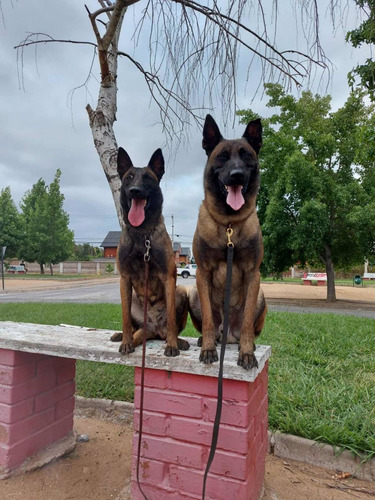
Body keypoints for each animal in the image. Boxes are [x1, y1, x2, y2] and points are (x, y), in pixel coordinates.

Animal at [110, 147, 189, 356]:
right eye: (129, 177)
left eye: (147, 178)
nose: (135, 190)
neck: (142, 234)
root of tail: (153, 328)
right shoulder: (124, 279)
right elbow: (125, 319)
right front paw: (126, 341)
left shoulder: (168, 278)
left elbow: (171, 319)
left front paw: (172, 345)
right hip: (132, 299)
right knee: (133, 326)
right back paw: (123, 336)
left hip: (181, 291)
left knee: (170, 326)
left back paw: (178, 341)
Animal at [191, 115, 268, 370]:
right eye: (223, 157)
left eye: (246, 156)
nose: (237, 175)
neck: (229, 224)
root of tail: (228, 334)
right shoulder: (202, 273)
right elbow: (207, 318)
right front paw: (207, 348)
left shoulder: (253, 273)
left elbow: (246, 322)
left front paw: (246, 353)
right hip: (193, 294)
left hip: (261, 296)